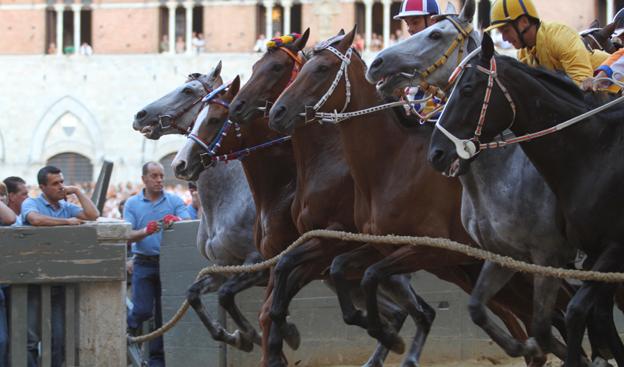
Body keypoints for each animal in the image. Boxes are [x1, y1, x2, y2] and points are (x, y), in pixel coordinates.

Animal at [132, 67, 266, 354]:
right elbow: (194, 294)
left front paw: (254, 335)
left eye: (187, 90)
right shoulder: (225, 265)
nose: (140, 115)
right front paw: (234, 336)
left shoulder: (259, 262)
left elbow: (227, 296)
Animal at [268, 28, 572, 367]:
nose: (277, 112)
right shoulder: (377, 245)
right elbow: (315, 269)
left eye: (321, 69)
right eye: (302, 68)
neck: (391, 162)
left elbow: (366, 277)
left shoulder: (425, 248)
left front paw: (390, 336)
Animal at [428, 32, 624, 367]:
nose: (436, 153)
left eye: (467, 89)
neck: (594, 152)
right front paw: (526, 348)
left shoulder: (580, 251)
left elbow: (568, 315)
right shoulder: (507, 255)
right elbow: (479, 307)